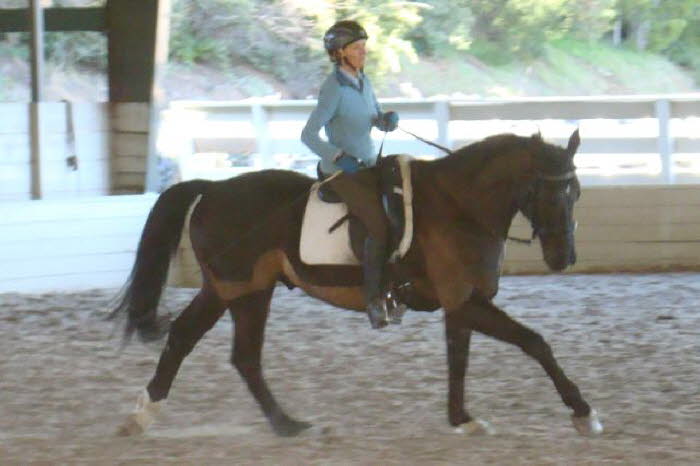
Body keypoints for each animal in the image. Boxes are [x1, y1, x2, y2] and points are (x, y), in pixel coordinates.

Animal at [109, 127, 600, 436]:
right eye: (546, 192)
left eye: (576, 193)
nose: (564, 258)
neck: (460, 206)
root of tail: (212, 187)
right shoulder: (466, 302)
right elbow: (534, 342)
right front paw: (583, 413)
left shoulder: (462, 303)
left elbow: (458, 360)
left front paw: (461, 418)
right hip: (237, 289)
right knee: (203, 344)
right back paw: (149, 418)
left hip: (241, 291)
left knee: (221, 350)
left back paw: (280, 424)